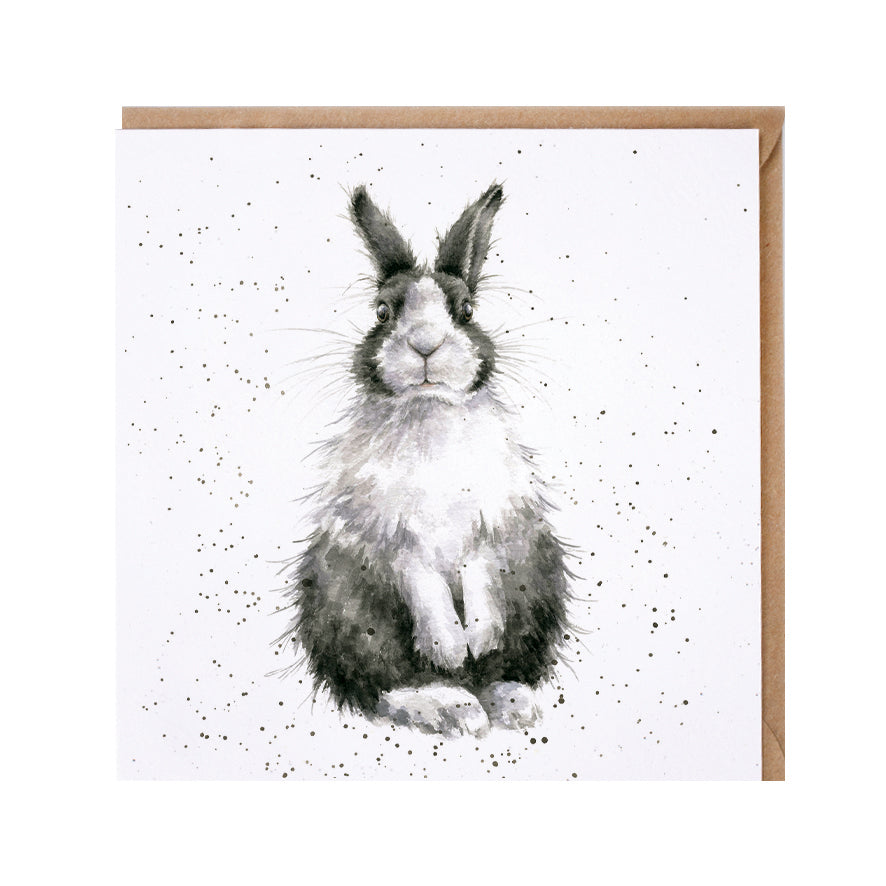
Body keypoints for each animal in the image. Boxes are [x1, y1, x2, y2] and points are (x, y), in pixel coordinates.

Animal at [277, 183, 573, 737]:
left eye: (467, 311)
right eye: (381, 313)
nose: (425, 344)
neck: (429, 411)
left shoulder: (490, 528)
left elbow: (478, 575)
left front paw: (477, 638)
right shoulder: (390, 536)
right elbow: (424, 583)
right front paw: (450, 647)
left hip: (538, 580)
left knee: (500, 668)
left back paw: (508, 702)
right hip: (347, 608)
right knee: (382, 684)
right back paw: (451, 706)